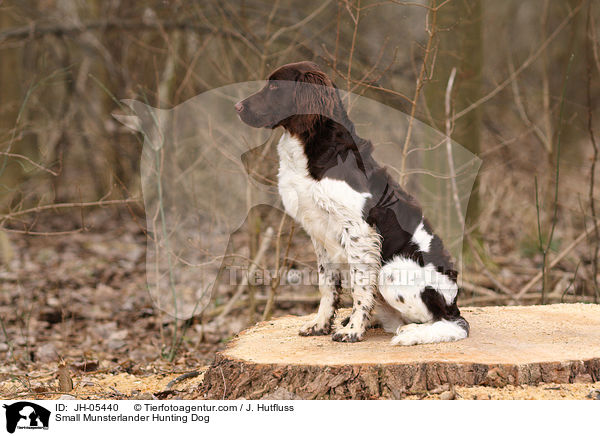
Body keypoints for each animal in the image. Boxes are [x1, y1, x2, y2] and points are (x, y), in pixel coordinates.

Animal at [234, 61, 468, 346]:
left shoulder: (359, 230)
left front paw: (353, 330)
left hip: (392, 270)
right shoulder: (317, 231)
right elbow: (326, 284)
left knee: (444, 322)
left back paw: (410, 331)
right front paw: (321, 324)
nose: (237, 107)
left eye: (275, 87)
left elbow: (360, 286)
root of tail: (452, 303)